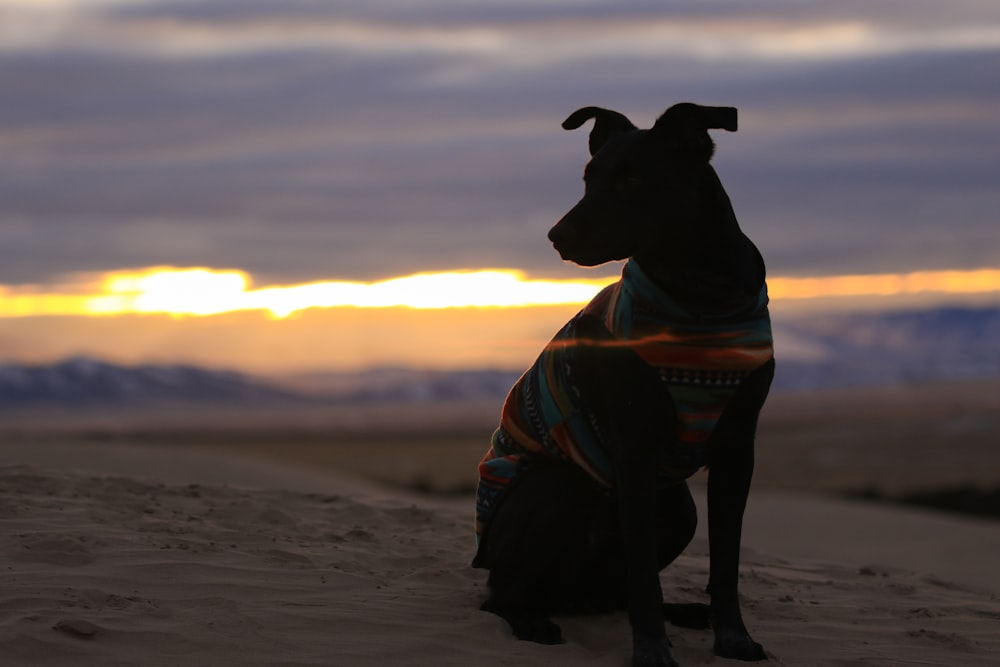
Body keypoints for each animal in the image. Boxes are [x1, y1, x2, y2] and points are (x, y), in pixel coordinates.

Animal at [472, 102, 776, 664]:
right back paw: (532, 620)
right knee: (503, 591)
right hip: (559, 487)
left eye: (633, 180)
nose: (557, 235)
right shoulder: (634, 449)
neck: (699, 295)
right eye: (588, 179)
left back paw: (681, 612)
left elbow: (725, 562)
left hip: (675, 507)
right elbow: (643, 575)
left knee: (611, 590)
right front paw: (652, 651)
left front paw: (732, 637)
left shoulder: (737, 447)